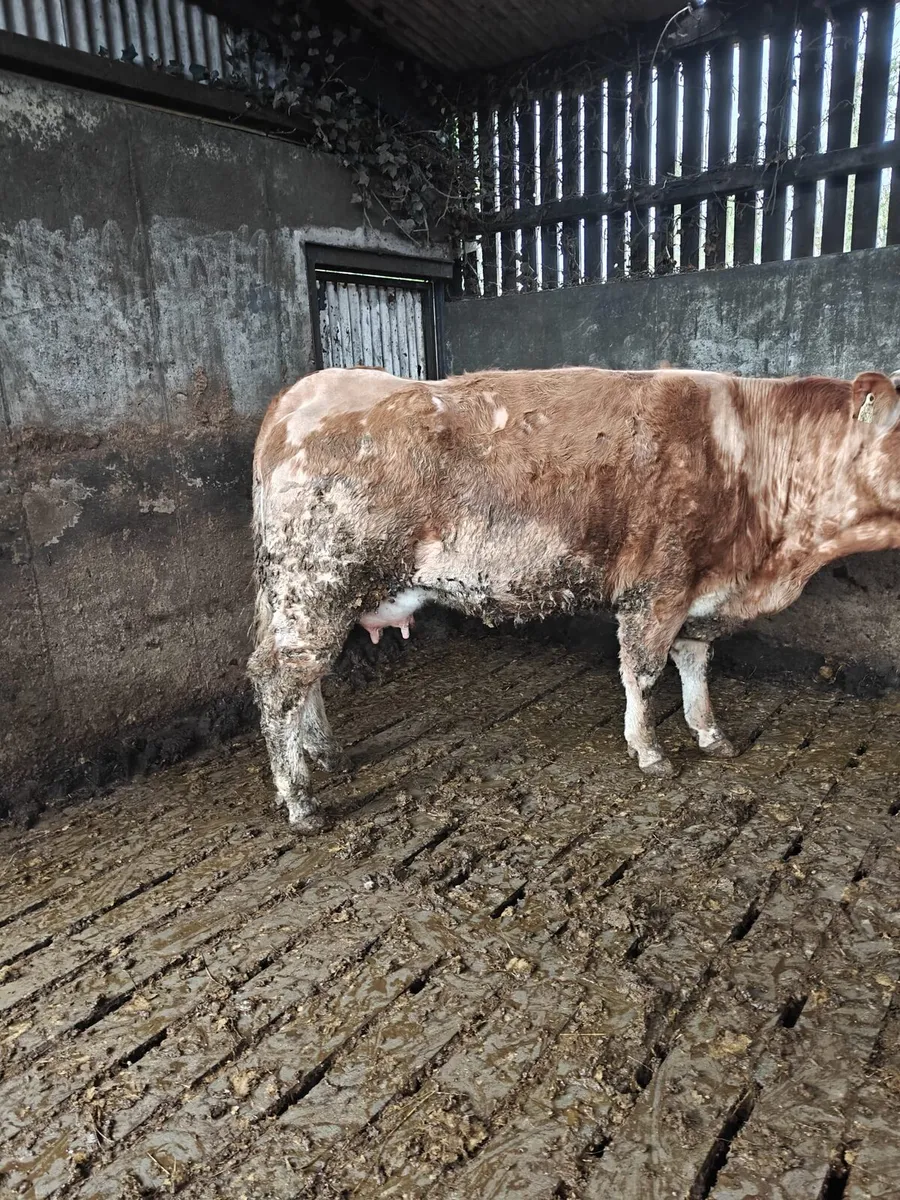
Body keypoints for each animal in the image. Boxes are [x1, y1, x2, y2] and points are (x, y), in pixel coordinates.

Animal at [249, 365, 900, 829]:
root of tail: (301, 391)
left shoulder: (701, 596)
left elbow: (695, 664)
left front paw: (711, 734)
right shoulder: (658, 586)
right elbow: (643, 672)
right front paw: (650, 751)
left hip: (311, 596)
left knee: (306, 678)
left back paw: (324, 754)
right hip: (315, 585)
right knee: (280, 678)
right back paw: (301, 801)